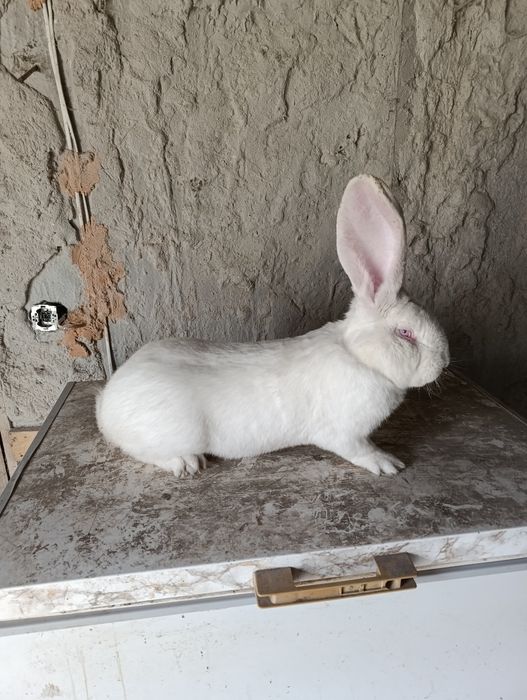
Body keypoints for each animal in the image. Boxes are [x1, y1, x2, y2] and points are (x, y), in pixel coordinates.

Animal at [96, 174, 449, 478]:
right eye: (405, 332)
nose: (445, 361)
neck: (360, 356)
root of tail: (107, 403)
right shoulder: (344, 433)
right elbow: (359, 450)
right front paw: (387, 463)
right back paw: (185, 463)